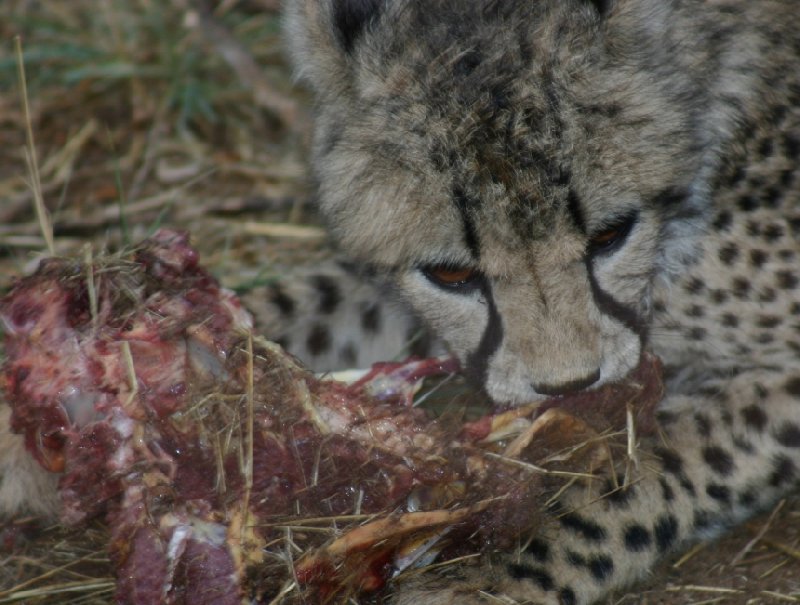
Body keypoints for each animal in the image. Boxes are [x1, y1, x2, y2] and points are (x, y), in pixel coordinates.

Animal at [264, 0, 800, 600]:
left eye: (610, 234)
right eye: (450, 272)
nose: (567, 385)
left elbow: (632, 468)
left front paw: (484, 576)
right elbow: (308, 302)